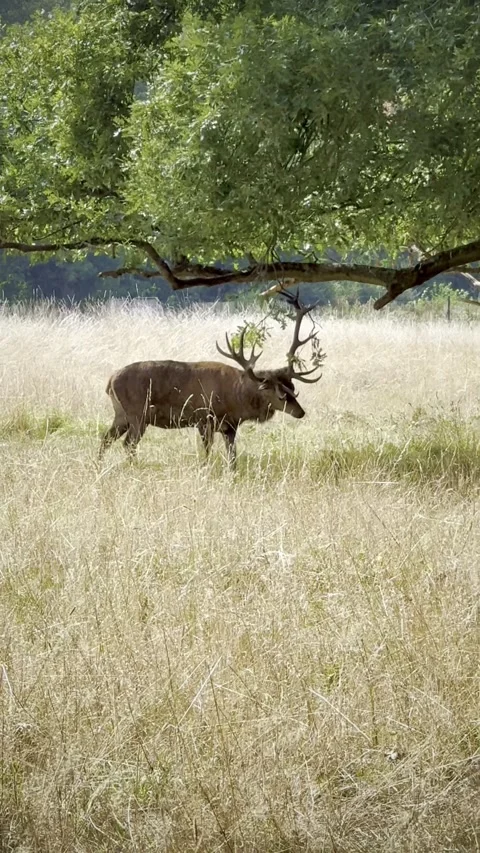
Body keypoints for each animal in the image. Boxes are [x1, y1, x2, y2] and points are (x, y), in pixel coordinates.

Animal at [99, 290, 325, 468]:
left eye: (293, 388)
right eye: (280, 394)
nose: (300, 412)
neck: (236, 400)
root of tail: (110, 381)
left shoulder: (230, 426)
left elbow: (233, 457)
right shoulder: (204, 418)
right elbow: (207, 453)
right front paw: (205, 470)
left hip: (121, 415)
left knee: (105, 438)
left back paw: (99, 465)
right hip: (138, 413)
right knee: (128, 444)